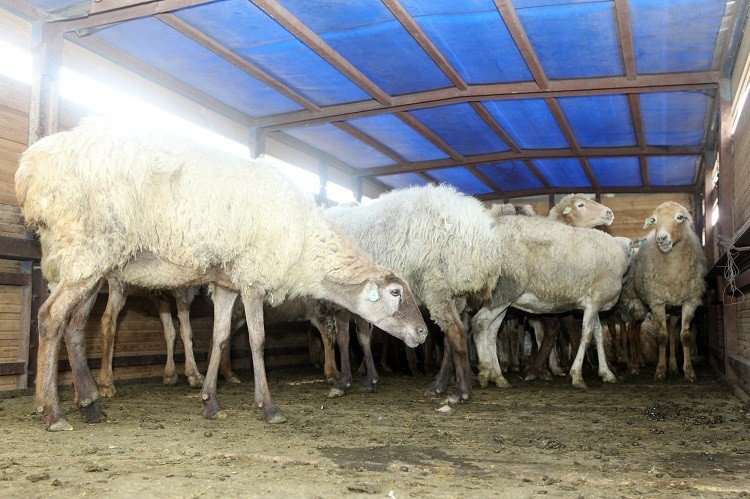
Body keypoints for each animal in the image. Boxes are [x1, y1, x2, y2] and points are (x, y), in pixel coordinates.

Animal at [14, 119, 428, 432]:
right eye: (395, 293)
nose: (423, 332)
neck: (304, 246)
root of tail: (29, 169)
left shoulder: (226, 284)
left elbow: (219, 338)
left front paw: (210, 401)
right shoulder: (252, 277)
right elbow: (257, 341)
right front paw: (268, 406)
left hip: (80, 259)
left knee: (73, 325)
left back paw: (89, 403)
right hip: (87, 247)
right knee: (50, 318)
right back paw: (54, 412)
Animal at [324, 186, 506, 404]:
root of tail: (486, 240)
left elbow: (344, 338)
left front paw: (343, 383)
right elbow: (362, 337)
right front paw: (370, 380)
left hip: (436, 286)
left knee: (455, 332)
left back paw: (460, 392)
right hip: (455, 294)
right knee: (449, 337)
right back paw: (438, 386)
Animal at [472, 211, 632, 390]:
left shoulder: (593, 303)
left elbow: (598, 334)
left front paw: (606, 373)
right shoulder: (595, 300)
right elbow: (586, 335)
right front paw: (577, 375)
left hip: (503, 297)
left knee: (492, 332)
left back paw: (498, 377)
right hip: (506, 289)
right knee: (479, 322)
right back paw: (484, 372)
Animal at [632, 201, 708, 380]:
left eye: (680, 217)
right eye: (654, 220)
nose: (661, 238)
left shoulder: (689, 301)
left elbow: (683, 336)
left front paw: (688, 370)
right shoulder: (657, 302)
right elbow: (661, 336)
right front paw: (660, 370)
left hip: (673, 310)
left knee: (672, 332)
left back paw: (672, 365)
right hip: (635, 302)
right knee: (633, 330)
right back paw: (635, 365)